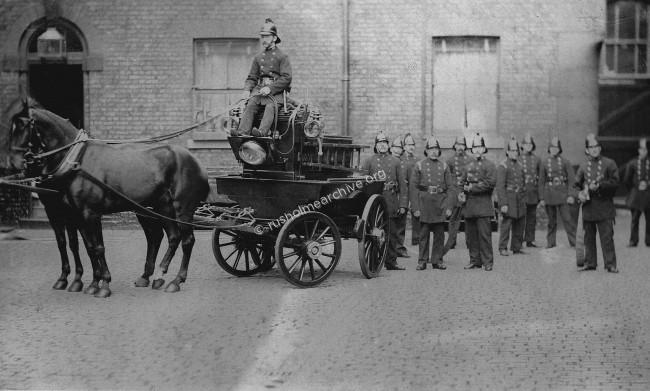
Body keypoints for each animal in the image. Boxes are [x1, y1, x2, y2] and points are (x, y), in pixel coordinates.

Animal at [7, 99, 210, 298]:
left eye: (23, 125)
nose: (13, 164)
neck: (77, 161)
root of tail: (195, 161)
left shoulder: (90, 214)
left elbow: (97, 247)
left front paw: (102, 284)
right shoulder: (74, 214)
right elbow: (83, 245)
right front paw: (87, 282)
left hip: (182, 209)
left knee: (187, 240)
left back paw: (176, 281)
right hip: (159, 208)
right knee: (169, 237)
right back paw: (156, 276)